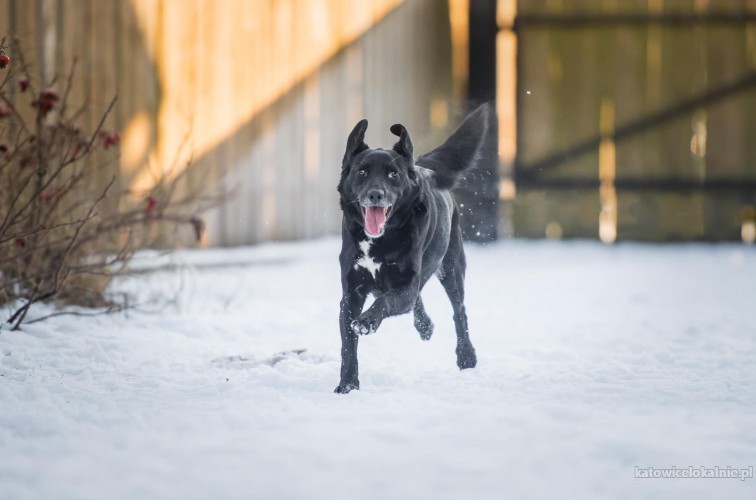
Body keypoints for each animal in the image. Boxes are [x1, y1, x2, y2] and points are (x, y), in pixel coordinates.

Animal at [334, 103, 494, 394]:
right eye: (361, 171)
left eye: (392, 174)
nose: (375, 194)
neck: (379, 241)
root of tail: (419, 165)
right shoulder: (351, 292)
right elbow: (348, 346)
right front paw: (347, 386)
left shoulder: (405, 283)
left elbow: (386, 302)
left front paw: (366, 321)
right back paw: (425, 326)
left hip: (451, 267)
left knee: (459, 311)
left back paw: (466, 356)